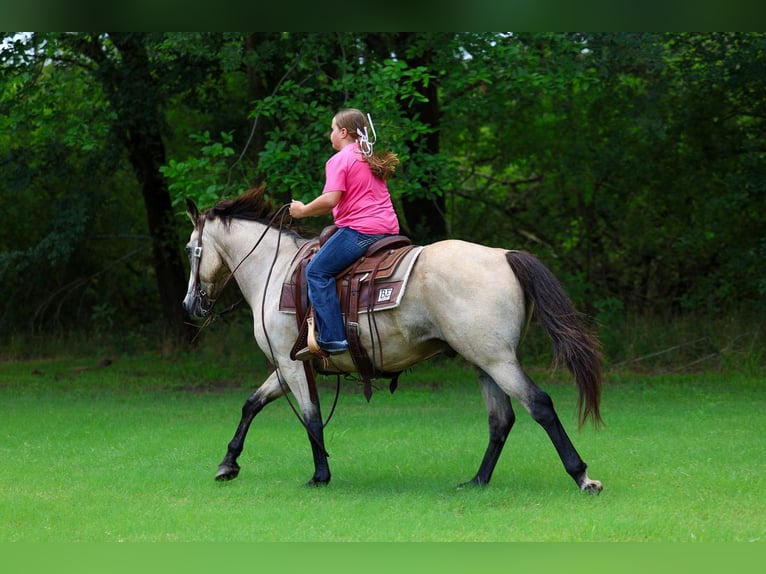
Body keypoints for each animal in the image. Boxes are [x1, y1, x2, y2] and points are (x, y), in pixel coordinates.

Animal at [182, 187, 604, 494]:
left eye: (189, 250)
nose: (190, 304)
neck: (275, 270)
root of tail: (503, 255)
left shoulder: (290, 364)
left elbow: (311, 417)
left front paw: (320, 476)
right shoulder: (291, 365)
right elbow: (251, 404)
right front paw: (228, 464)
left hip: (498, 360)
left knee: (539, 405)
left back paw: (582, 476)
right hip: (483, 360)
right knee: (501, 420)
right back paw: (477, 481)